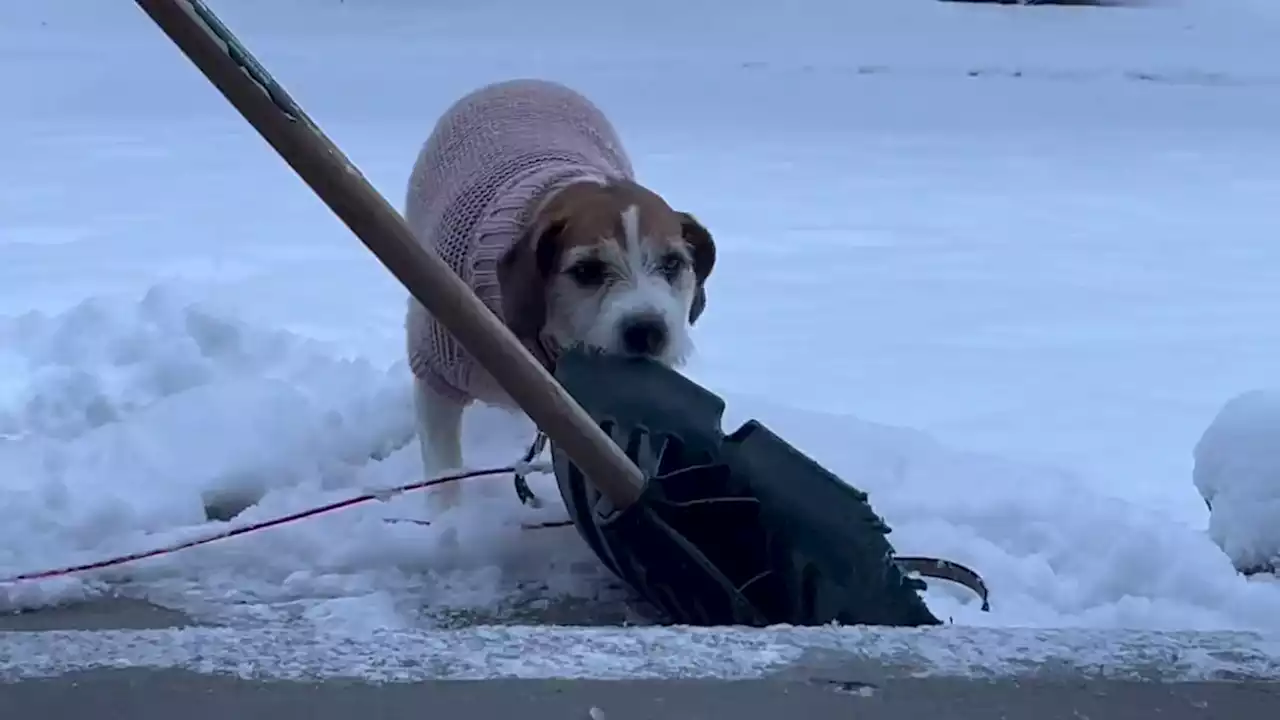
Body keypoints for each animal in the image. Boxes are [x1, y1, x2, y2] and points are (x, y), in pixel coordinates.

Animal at [404, 78, 716, 509]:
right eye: (586, 271)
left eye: (672, 264)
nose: (648, 331)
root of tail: (520, 81)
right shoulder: (437, 374)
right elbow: (444, 474)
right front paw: (448, 521)